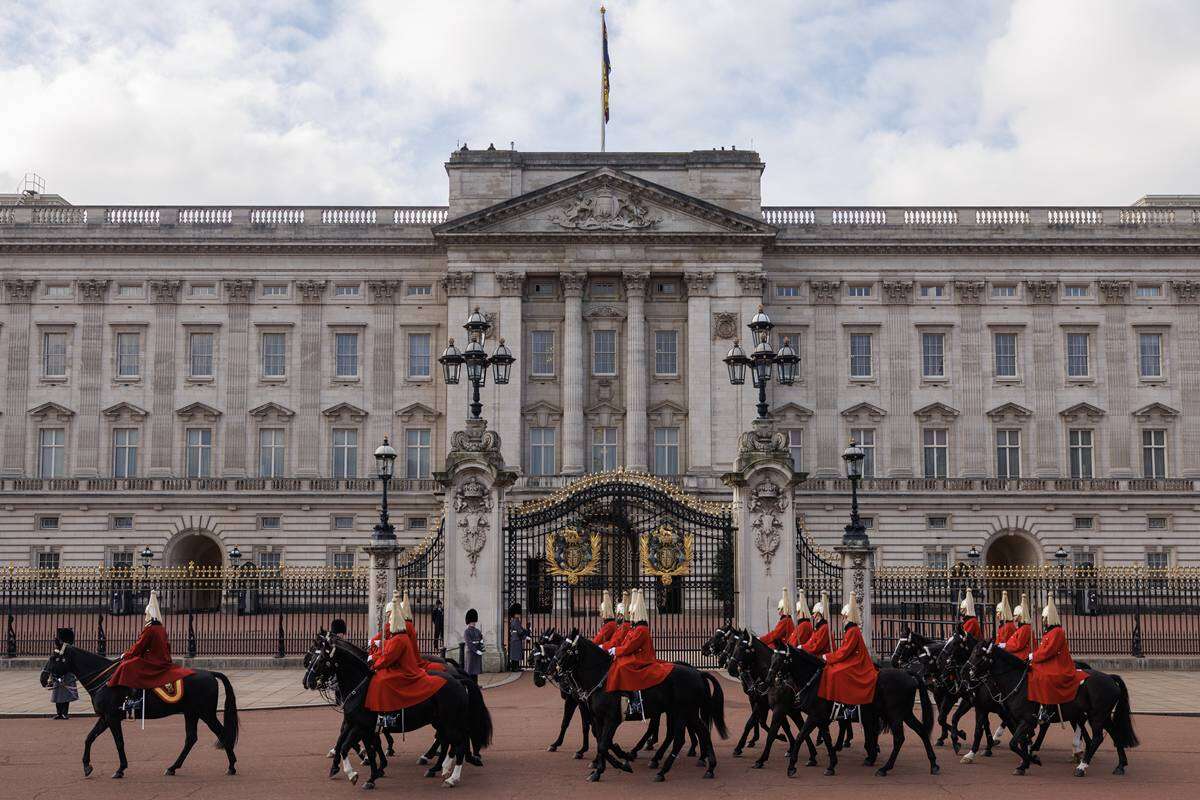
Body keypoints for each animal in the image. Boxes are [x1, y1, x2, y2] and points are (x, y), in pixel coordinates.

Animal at [38, 642, 238, 777]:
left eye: (55, 658)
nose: (43, 678)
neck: (105, 679)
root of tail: (210, 673)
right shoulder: (105, 717)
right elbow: (89, 738)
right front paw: (87, 766)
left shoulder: (112, 717)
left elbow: (119, 742)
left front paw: (120, 769)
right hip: (191, 713)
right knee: (191, 738)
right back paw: (173, 767)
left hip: (205, 713)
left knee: (222, 733)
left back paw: (231, 766)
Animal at [549, 633, 720, 782]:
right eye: (557, 648)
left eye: (566, 649)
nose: (551, 669)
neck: (601, 679)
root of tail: (697, 673)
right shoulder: (597, 717)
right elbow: (600, 740)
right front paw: (603, 766)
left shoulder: (612, 719)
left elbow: (603, 744)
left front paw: (615, 764)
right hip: (686, 712)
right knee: (701, 731)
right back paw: (709, 767)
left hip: (681, 712)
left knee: (679, 739)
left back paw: (662, 770)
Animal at [960, 638, 1137, 777]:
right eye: (971, 651)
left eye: (978, 654)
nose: (964, 671)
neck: (1018, 683)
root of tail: (1110, 678)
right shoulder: (1016, 719)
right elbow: (1019, 741)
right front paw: (1025, 763)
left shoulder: (1026, 720)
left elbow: (1013, 743)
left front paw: (1031, 760)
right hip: (1102, 716)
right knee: (1114, 733)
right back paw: (1120, 765)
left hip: (1097, 716)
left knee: (1097, 738)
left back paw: (1081, 767)